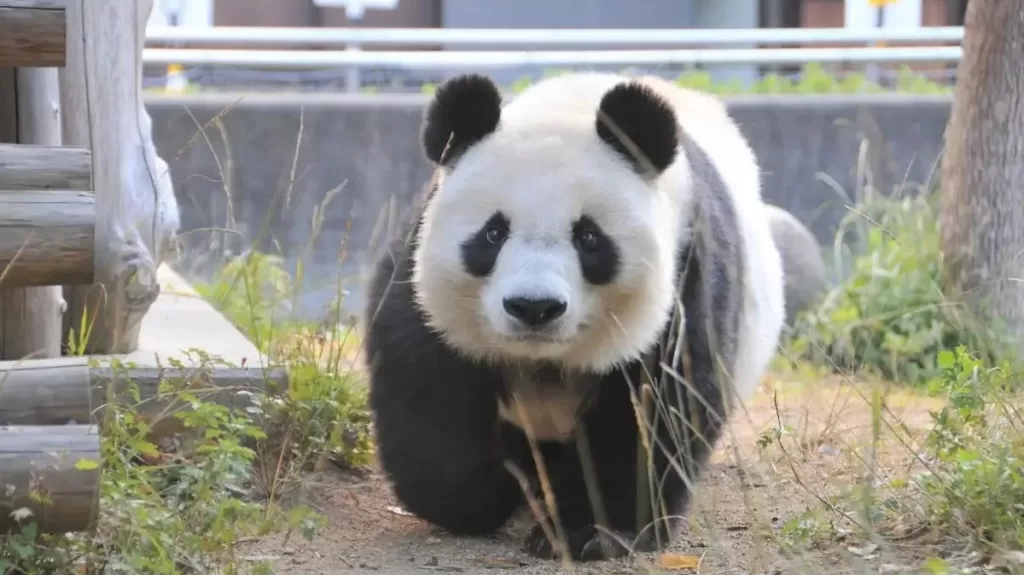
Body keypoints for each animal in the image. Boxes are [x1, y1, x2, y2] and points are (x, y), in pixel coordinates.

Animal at [362, 71, 785, 562]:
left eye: (588, 237)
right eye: (493, 233)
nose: (534, 307)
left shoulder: (687, 272)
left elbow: (652, 411)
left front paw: (592, 532)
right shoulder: (421, 268)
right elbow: (428, 383)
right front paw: (481, 497)